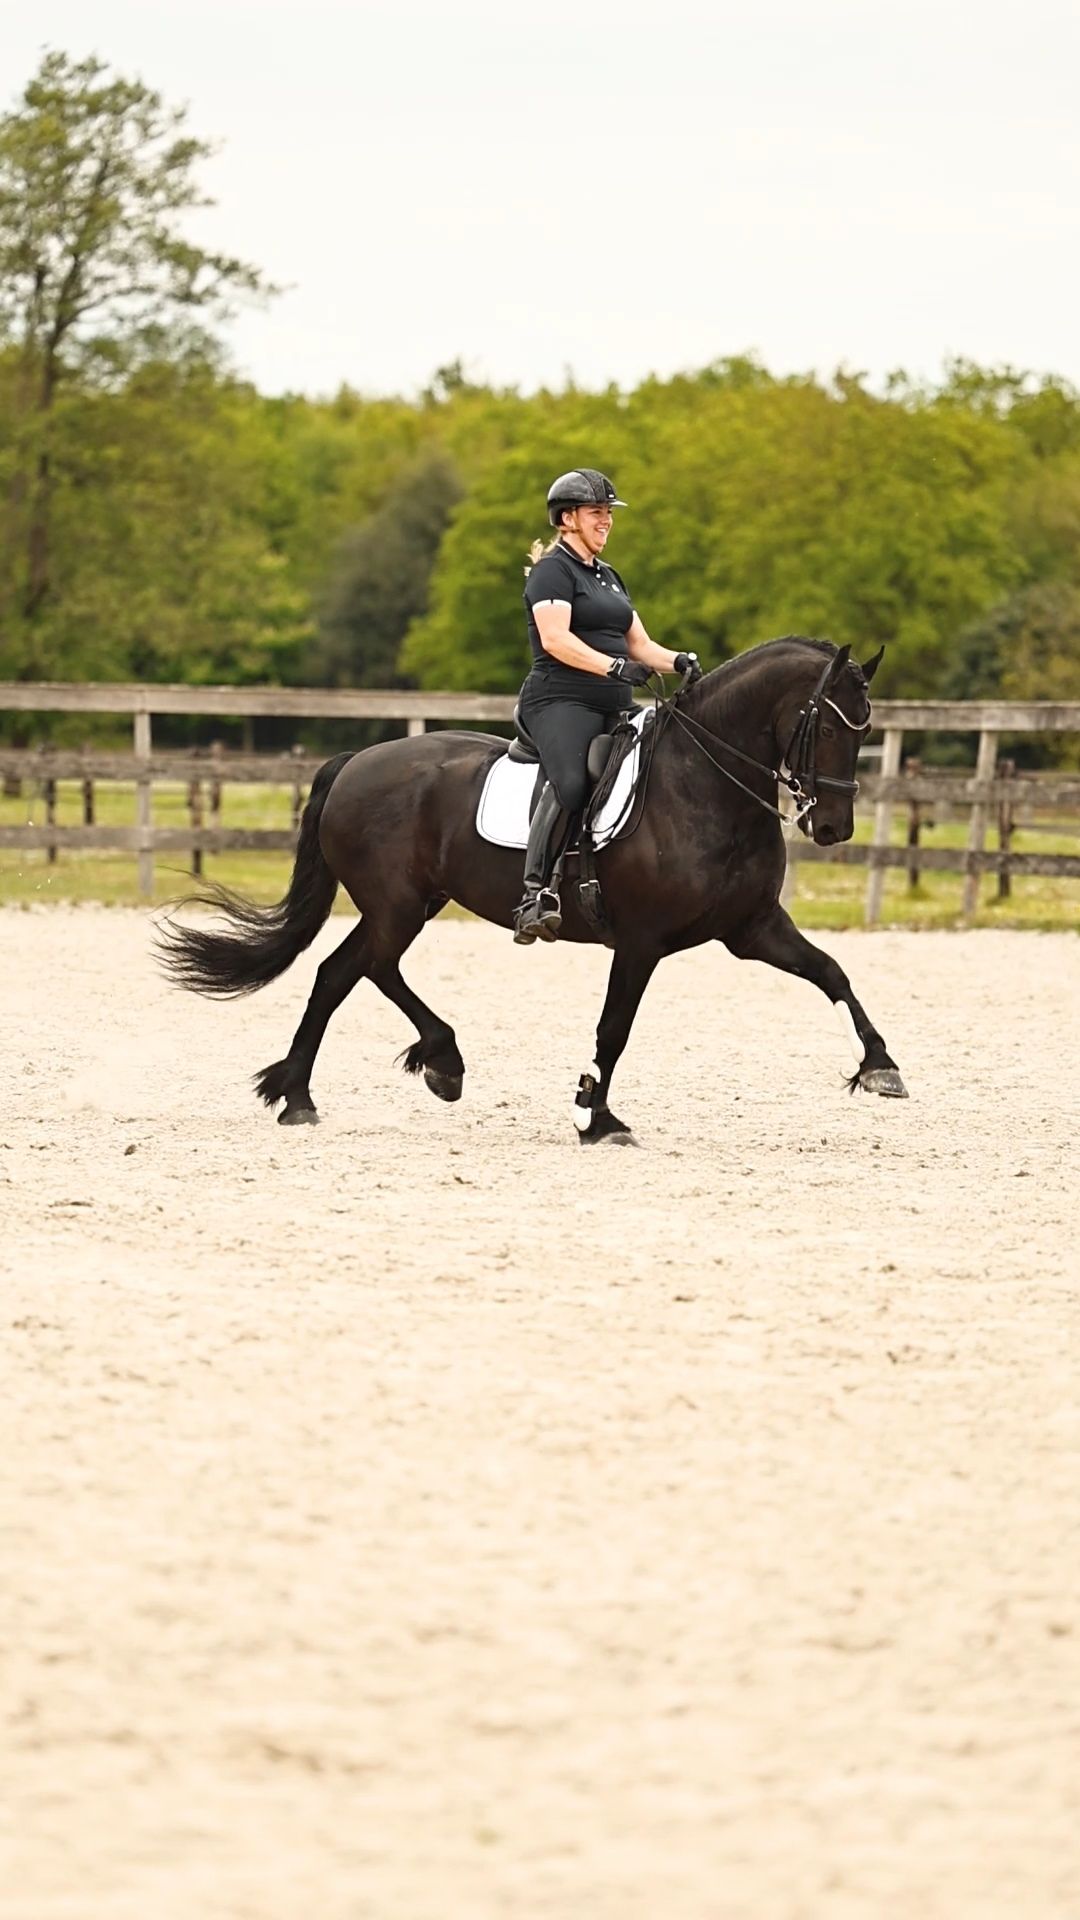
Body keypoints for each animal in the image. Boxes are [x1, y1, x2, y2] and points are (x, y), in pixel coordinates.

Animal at [156, 635, 907, 1141]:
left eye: (866, 729)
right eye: (825, 724)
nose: (833, 825)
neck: (702, 783)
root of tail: (354, 762)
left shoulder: (752, 929)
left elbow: (832, 973)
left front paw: (880, 1066)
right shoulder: (641, 942)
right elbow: (614, 1028)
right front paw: (595, 1116)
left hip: (410, 904)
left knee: (344, 971)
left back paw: (314, 1092)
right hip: (398, 906)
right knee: (361, 968)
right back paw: (409, 1067)